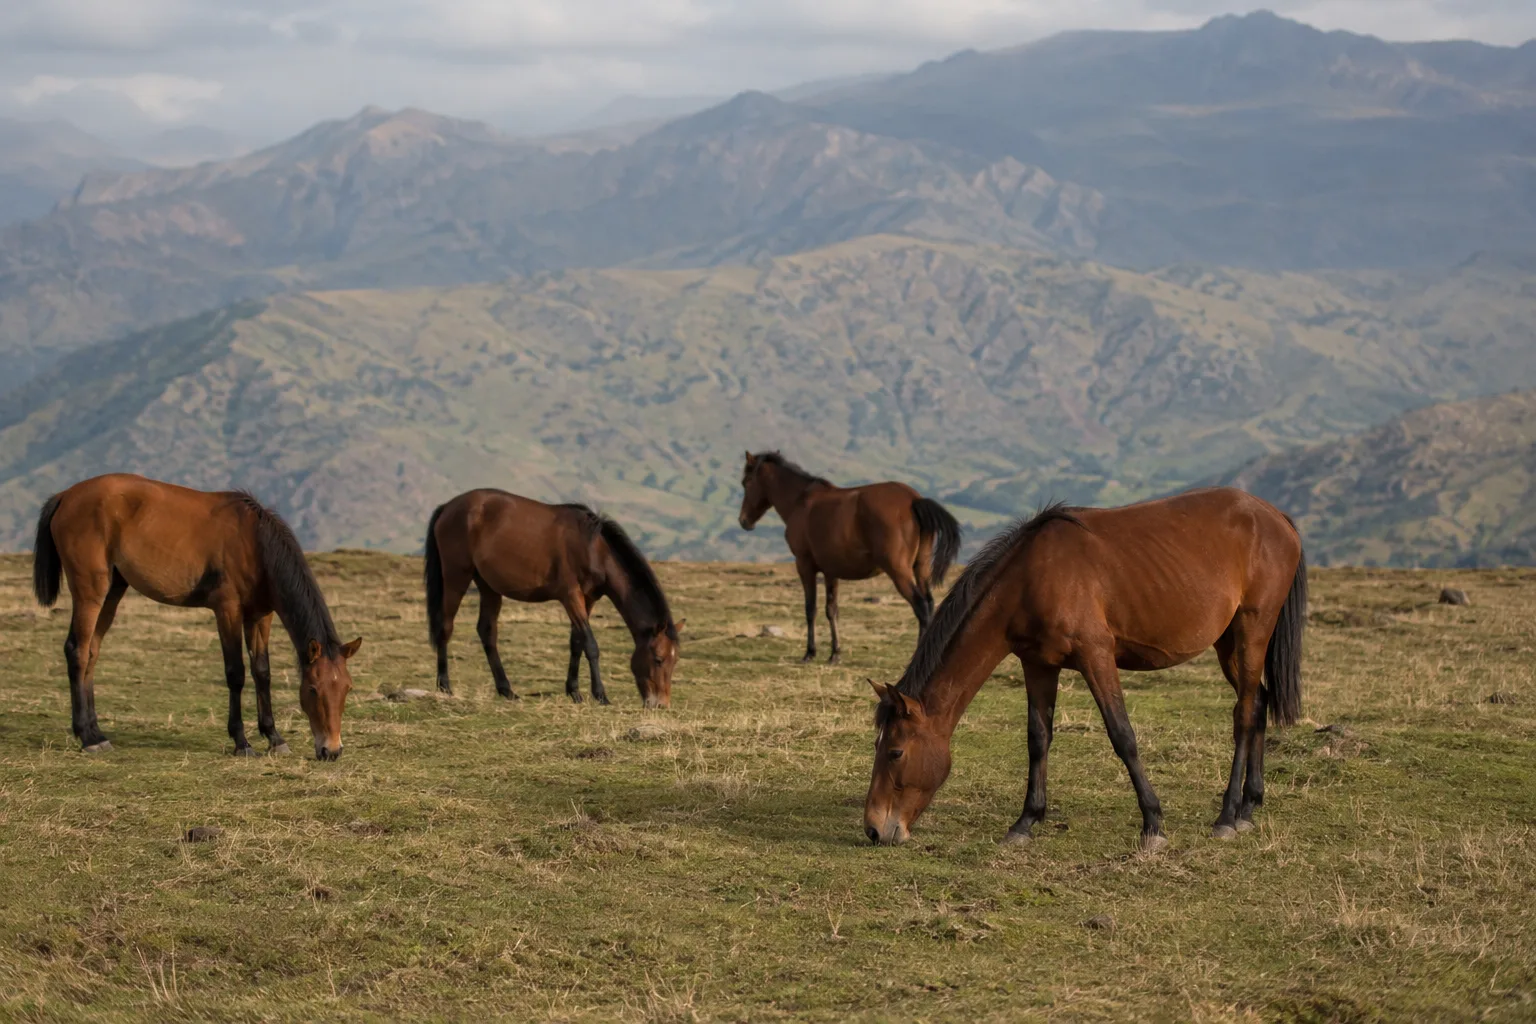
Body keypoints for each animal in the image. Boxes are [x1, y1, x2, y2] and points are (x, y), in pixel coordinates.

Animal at [32, 474, 362, 760]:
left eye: (347, 688)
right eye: (313, 689)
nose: (331, 751)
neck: (255, 542)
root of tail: (65, 496)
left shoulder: (260, 616)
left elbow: (262, 672)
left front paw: (274, 737)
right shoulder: (227, 610)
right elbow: (236, 673)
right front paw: (241, 742)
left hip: (113, 591)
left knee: (91, 653)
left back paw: (96, 732)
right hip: (90, 591)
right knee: (77, 651)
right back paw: (87, 738)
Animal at [423, 490, 683, 708]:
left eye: (675, 661)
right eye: (658, 659)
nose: (661, 705)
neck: (594, 548)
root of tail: (448, 507)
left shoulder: (588, 599)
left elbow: (576, 643)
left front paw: (575, 692)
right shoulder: (570, 596)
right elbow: (591, 645)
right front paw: (600, 695)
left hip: (488, 586)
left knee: (487, 631)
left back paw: (506, 690)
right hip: (457, 576)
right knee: (445, 626)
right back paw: (445, 686)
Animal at [737, 452, 961, 664]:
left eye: (746, 482)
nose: (744, 521)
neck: (800, 501)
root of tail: (914, 500)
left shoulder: (804, 565)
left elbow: (811, 609)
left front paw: (810, 653)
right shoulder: (830, 572)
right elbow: (831, 610)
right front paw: (835, 653)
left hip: (899, 571)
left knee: (921, 607)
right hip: (921, 568)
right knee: (930, 604)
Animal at [864, 487, 1305, 852]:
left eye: (895, 751)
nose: (873, 829)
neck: (1031, 577)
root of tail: (1276, 516)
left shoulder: (1097, 656)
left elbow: (1122, 736)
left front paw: (1153, 825)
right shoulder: (1037, 664)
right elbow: (1038, 738)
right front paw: (1025, 822)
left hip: (1252, 630)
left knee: (1244, 713)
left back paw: (1227, 816)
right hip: (1228, 642)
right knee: (1259, 702)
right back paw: (1249, 808)